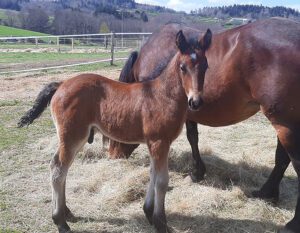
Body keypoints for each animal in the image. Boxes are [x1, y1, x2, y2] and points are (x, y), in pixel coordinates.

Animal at [17, 30, 212, 232]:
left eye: (206, 66)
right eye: (182, 67)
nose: (195, 102)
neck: (162, 96)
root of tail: (61, 84)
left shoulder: (153, 143)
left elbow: (152, 174)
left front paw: (148, 212)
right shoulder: (159, 142)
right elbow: (161, 181)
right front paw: (160, 222)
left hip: (74, 138)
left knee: (61, 167)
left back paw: (67, 212)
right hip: (72, 137)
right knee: (58, 169)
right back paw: (60, 221)